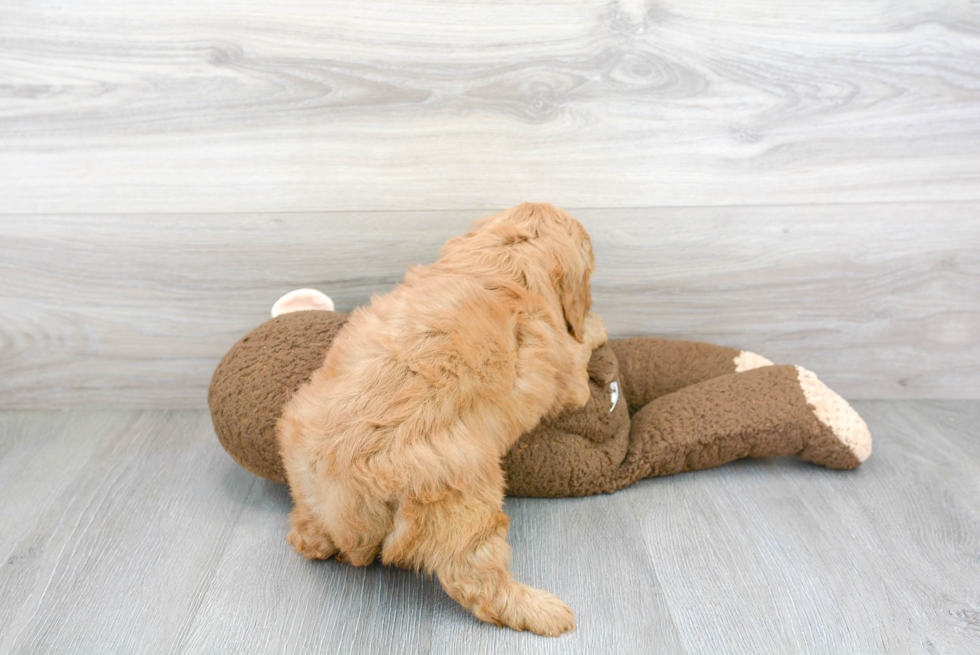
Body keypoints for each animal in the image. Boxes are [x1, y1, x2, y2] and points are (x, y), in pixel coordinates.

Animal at [276, 204, 608, 636]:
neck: (509, 255)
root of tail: (344, 475)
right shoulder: (571, 382)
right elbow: (581, 346)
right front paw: (596, 324)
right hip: (466, 501)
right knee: (477, 582)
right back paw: (546, 612)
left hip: (299, 459)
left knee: (308, 534)